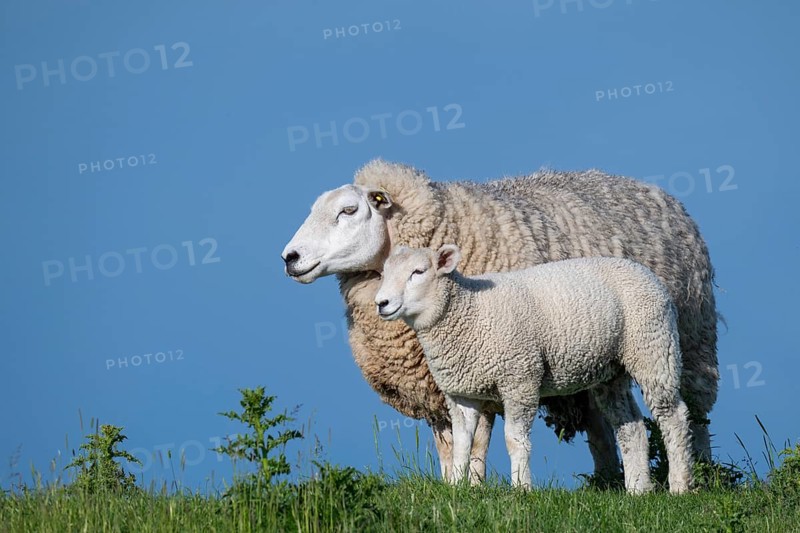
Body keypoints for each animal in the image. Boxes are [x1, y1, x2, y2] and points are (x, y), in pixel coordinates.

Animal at [374, 244, 694, 494]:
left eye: (418, 272)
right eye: (384, 274)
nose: (381, 303)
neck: (470, 311)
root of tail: (645, 272)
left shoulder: (520, 379)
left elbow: (514, 440)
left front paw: (521, 489)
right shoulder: (460, 393)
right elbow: (462, 443)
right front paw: (455, 487)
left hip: (654, 347)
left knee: (673, 416)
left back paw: (679, 486)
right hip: (611, 369)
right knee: (630, 425)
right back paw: (638, 490)